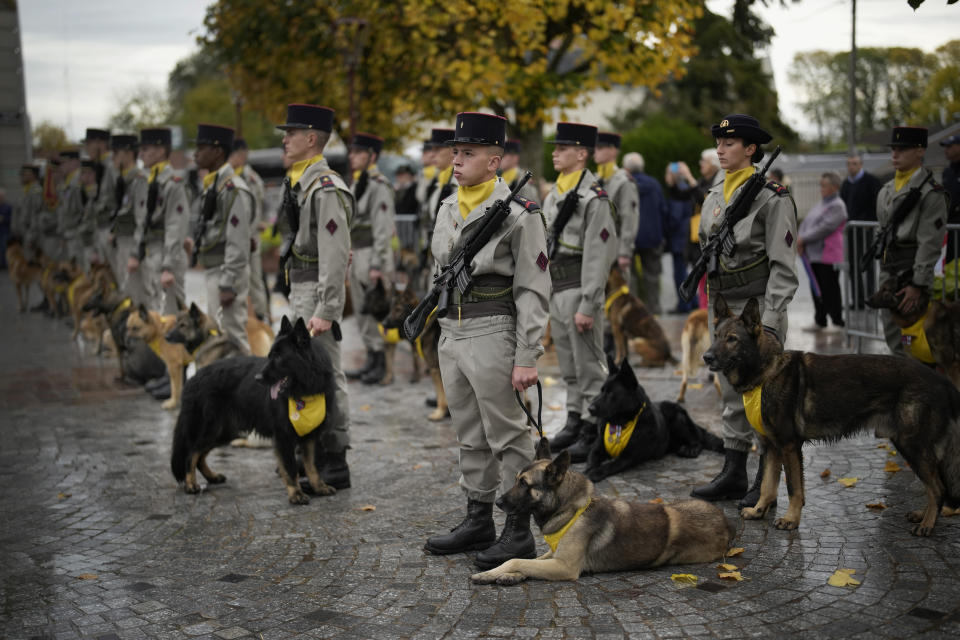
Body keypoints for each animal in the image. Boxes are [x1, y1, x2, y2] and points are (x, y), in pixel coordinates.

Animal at [171, 316, 340, 504]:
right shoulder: (284, 437)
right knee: (191, 454)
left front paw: (318, 487)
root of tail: (193, 378)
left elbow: (311, 466)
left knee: (199, 456)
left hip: (223, 433)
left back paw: (212, 477)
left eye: (279, 357)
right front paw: (296, 493)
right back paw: (191, 484)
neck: (306, 389)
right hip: (210, 429)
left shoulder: (309, 438)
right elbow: (290, 469)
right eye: (269, 356)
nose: (257, 378)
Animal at [468, 440, 732, 584]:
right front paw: (501, 575)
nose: (498, 502)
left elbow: (516, 560)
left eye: (524, 484)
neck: (570, 510)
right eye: (515, 480)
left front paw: (495, 573)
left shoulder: (564, 566)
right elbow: (524, 562)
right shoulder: (553, 555)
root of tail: (724, 520)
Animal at [580, 356, 724, 480]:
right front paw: (588, 470)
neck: (621, 423)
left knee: (698, 440)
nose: (589, 409)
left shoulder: (628, 456)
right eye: (601, 390)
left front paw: (595, 473)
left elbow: (611, 465)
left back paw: (691, 449)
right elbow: (592, 458)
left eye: (611, 393)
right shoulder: (598, 447)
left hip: (677, 416)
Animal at [704, 296, 960, 536]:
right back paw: (923, 515)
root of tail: (942, 381)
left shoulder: (788, 446)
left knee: (937, 488)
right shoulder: (772, 448)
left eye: (732, 339)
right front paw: (759, 511)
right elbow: (768, 486)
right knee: (936, 486)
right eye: (715, 336)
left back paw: (927, 525)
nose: (706, 357)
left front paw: (791, 519)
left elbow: (794, 489)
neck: (766, 371)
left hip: (911, 445)